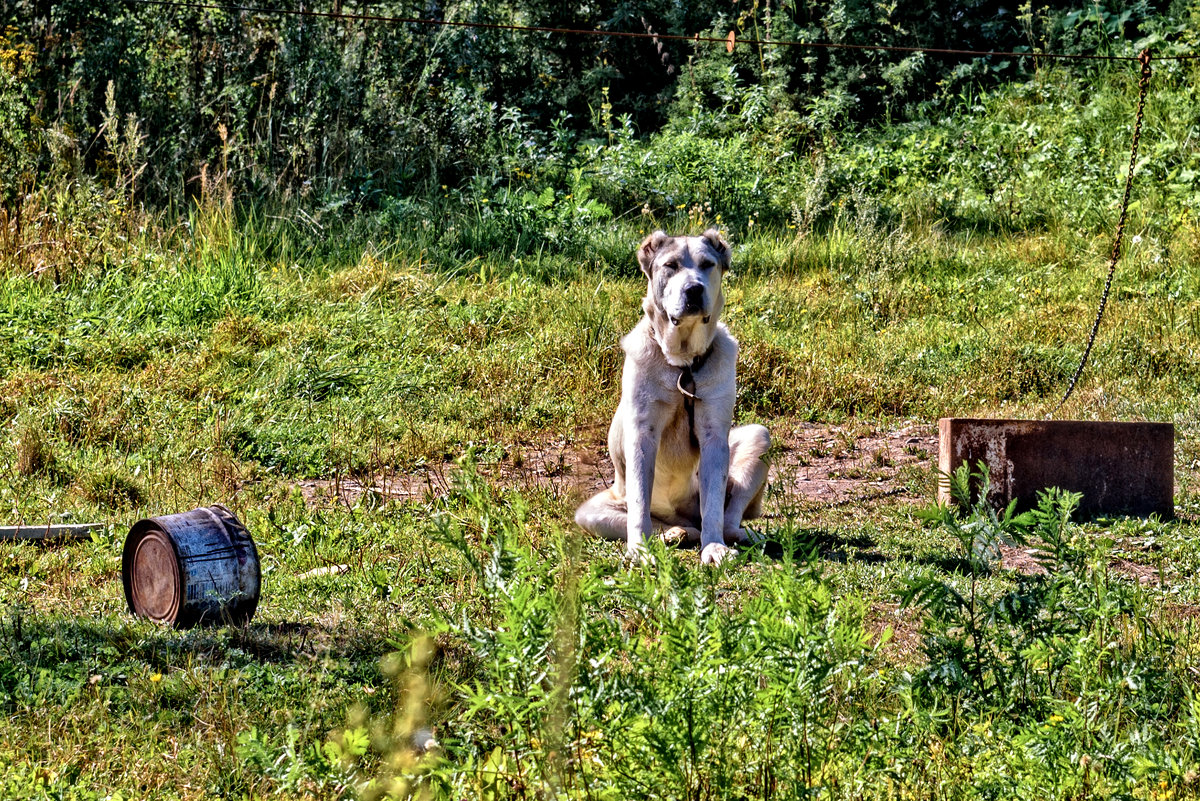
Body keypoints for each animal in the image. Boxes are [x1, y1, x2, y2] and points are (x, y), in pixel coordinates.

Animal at [571, 226, 768, 563]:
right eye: (671, 266)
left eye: (707, 265)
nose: (694, 289)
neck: (683, 363)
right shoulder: (642, 434)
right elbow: (639, 506)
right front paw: (639, 549)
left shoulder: (714, 436)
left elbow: (714, 504)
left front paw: (714, 548)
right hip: (592, 511)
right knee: (653, 522)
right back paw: (674, 533)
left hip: (760, 437)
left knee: (726, 518)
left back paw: (734, 535)